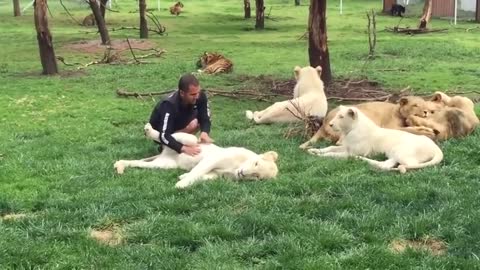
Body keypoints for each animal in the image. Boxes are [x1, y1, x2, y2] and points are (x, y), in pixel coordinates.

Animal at [114, 123, 280, 189]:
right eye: (256, 164)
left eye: (257, 176)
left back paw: (120, 166)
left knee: (138, 163)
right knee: (166, 135)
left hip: (164, 165)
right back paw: (148, 129)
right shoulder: (213, 159)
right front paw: (181, 185)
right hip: (191, 140)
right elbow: (197, 171)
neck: (235, 169)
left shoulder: (216, 175)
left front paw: (182, 177)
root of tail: (165, 152)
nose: (243, 173)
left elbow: (201, 176)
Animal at [308, 105, 442, 173]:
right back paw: (363, 161)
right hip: (393, 153)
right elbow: (330, 147)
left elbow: (333, 154)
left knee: (404, 165)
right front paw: (314, 150)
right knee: (385, 164)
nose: (330, 124)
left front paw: (319, 155)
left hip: (400, 151)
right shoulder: (346, 147)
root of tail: (436, 149)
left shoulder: (351, 151)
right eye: (336, 115)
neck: (350, 130)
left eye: (341, 117)